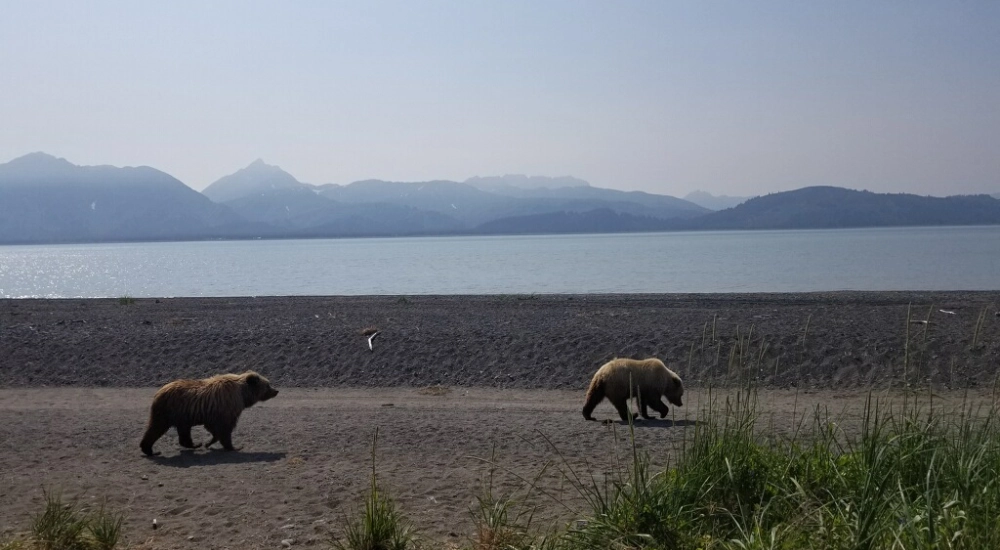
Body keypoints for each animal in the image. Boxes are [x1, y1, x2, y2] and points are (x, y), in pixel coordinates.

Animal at [140, 371, 279, 456]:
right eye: (268, 385)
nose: (276, 391)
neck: (242, 395)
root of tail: (158, 392)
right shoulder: (225, 409)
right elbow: (224, 429)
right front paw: (234, 446)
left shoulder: (214, 414)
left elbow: (215, 429)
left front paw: (208, 442)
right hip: (169, 411)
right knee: (156, 427)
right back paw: (150, 450)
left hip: (182, 416)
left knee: (183, 431)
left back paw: (194, 444)